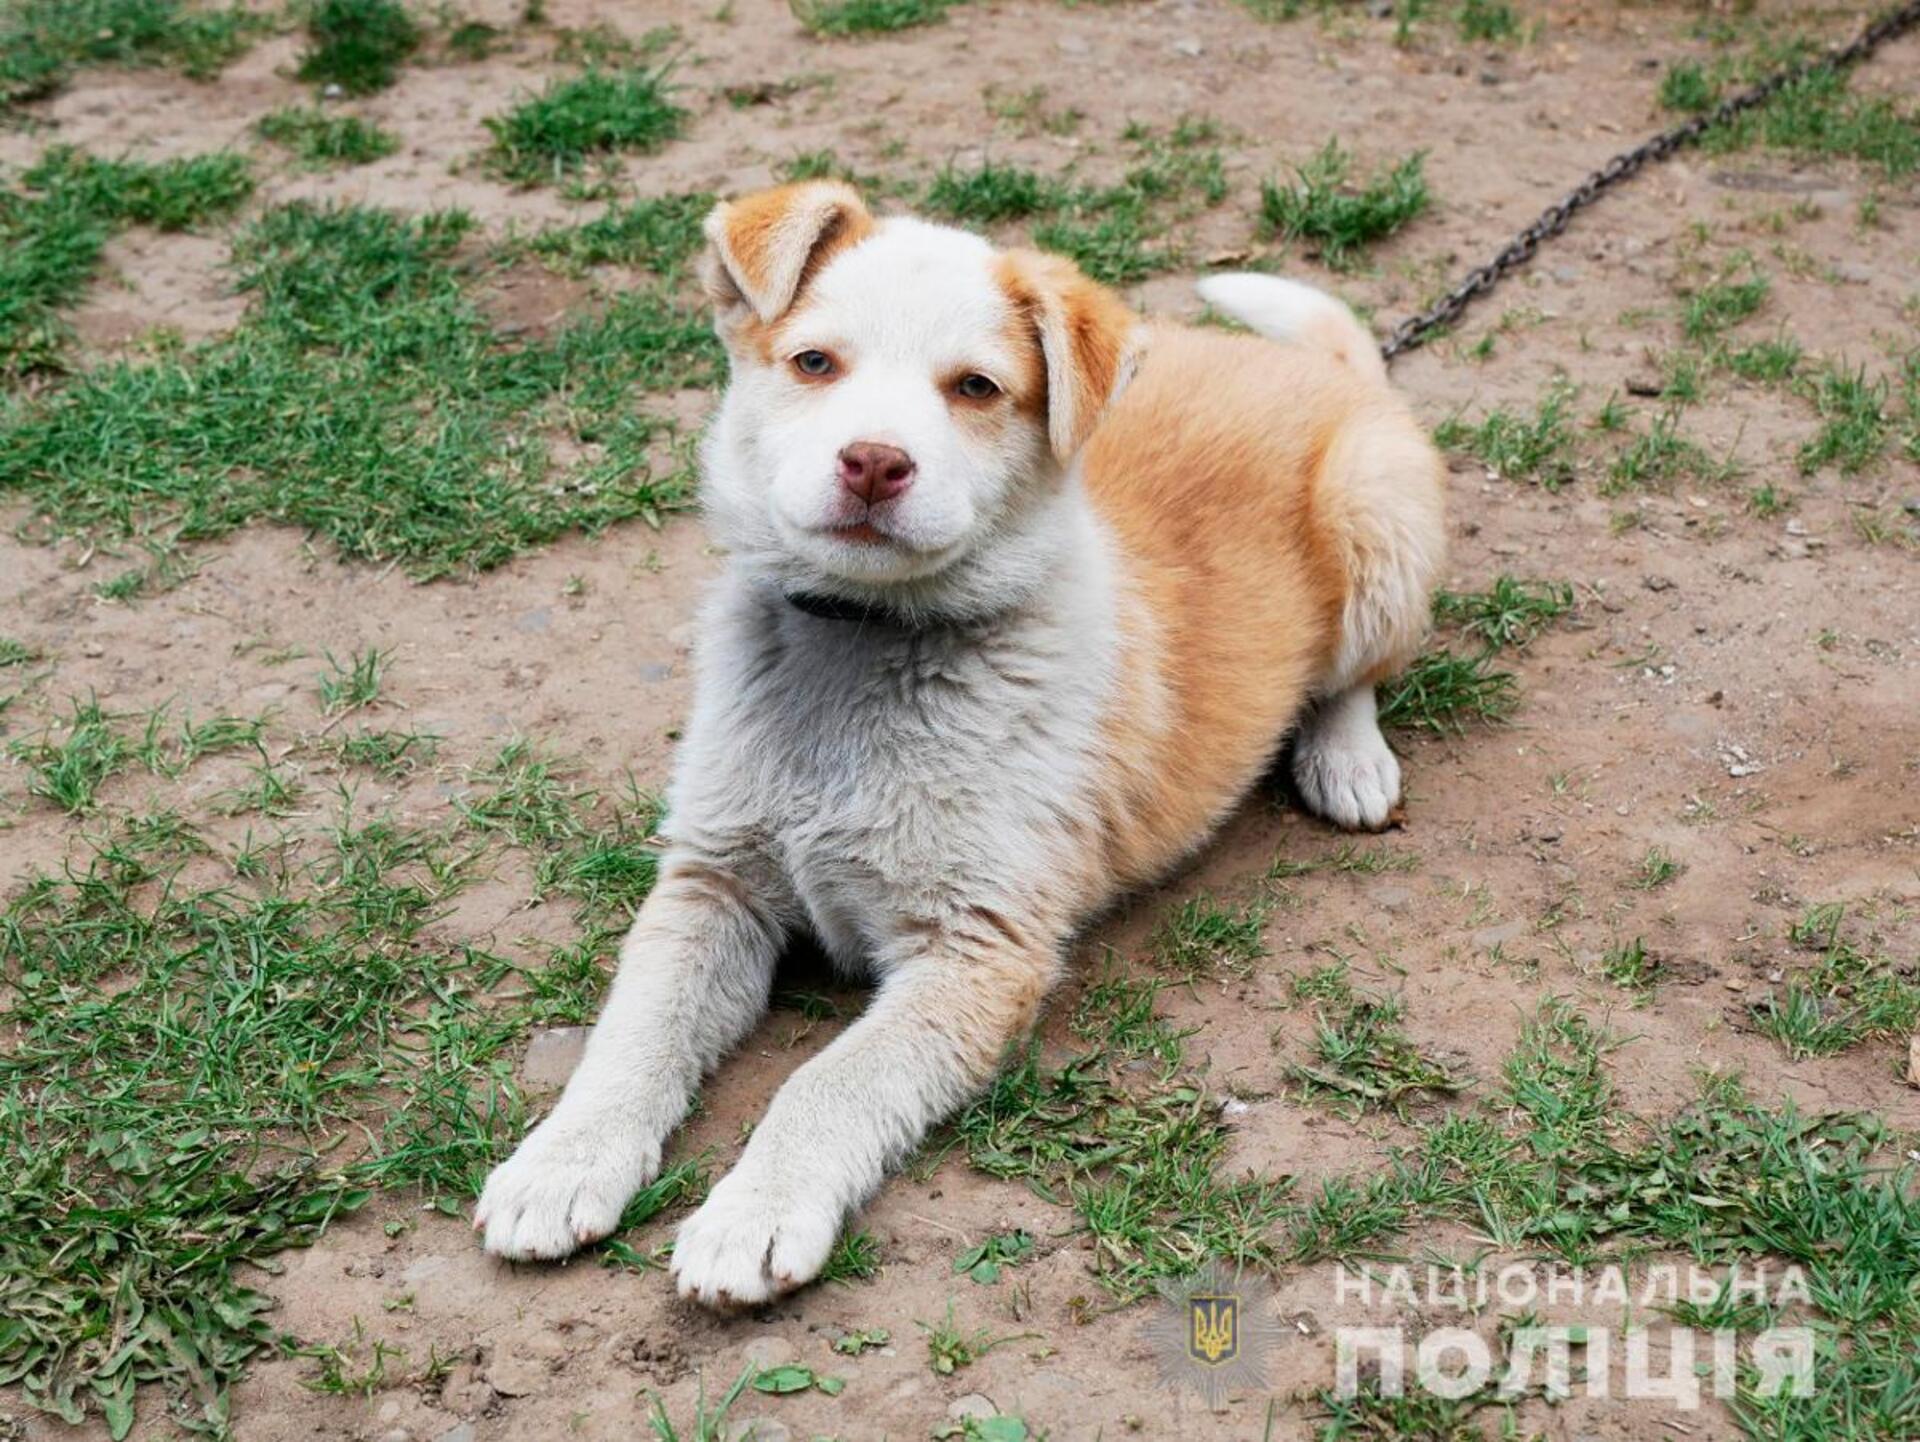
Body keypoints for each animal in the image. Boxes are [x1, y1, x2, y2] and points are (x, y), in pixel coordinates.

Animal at [476, 180, 1443, 1305]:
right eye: (814, 362)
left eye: (976, 387)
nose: (874, 462)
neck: (859, 653)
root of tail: (1322, 370)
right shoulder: (711, 882)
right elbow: (633, 1029)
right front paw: (561, 1163)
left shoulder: (976, 950)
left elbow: (827, 1080)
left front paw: (753, 1214)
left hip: (1379, 521)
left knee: (1352, 673)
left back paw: (1348, 758)